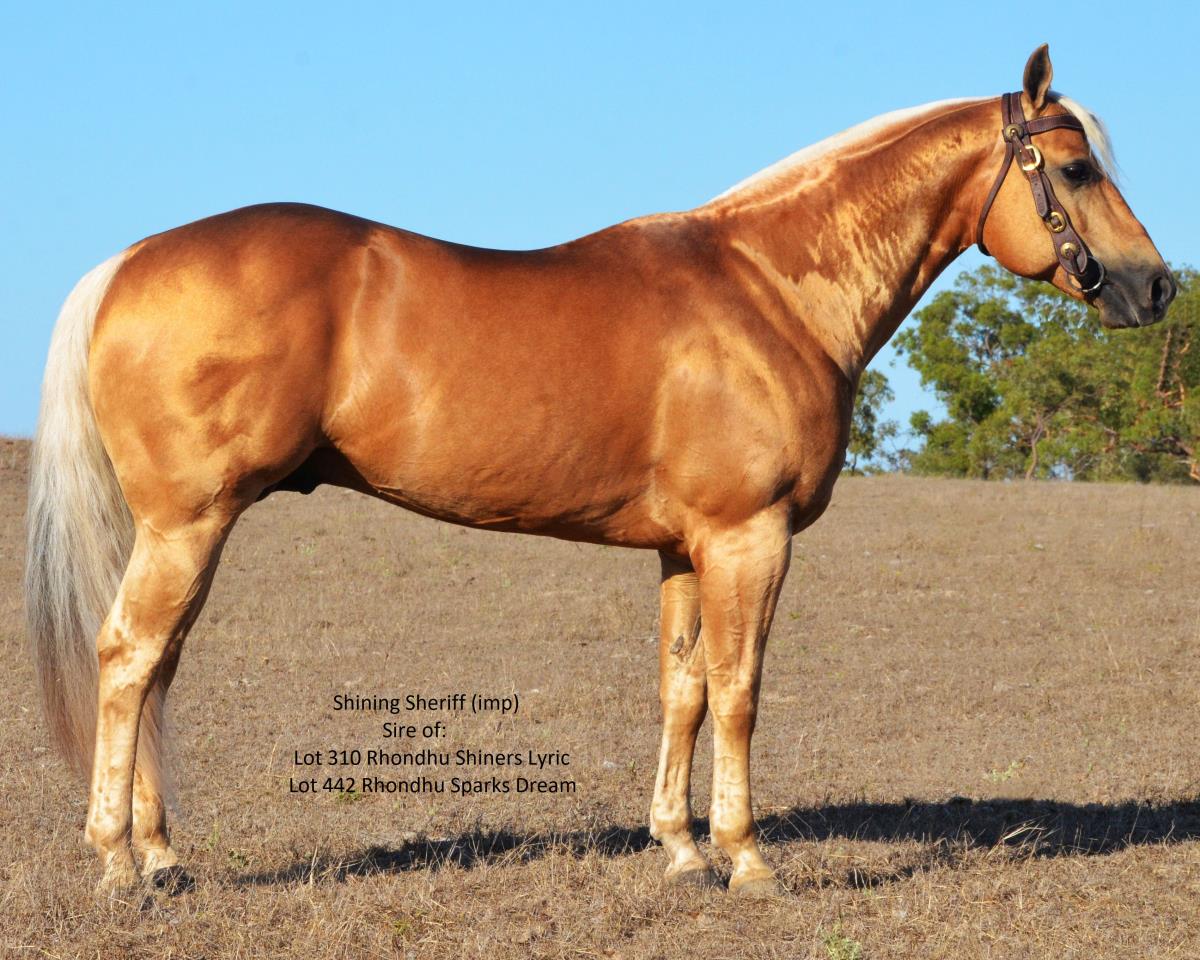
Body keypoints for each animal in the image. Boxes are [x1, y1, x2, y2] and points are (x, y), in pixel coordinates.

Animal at [26, 44, 1174, 897]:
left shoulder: (683, 548)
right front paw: (748, 859)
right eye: (1076, 170)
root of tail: (126, 262)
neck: (768, 290)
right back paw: (120, 861)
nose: (1156, 287)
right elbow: (741, 689)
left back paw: (160, 851)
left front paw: (680, 848)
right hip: (189, 523)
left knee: (159, 666)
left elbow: (682, 689)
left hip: (191, 529)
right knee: (129, 657)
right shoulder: (747, 537)